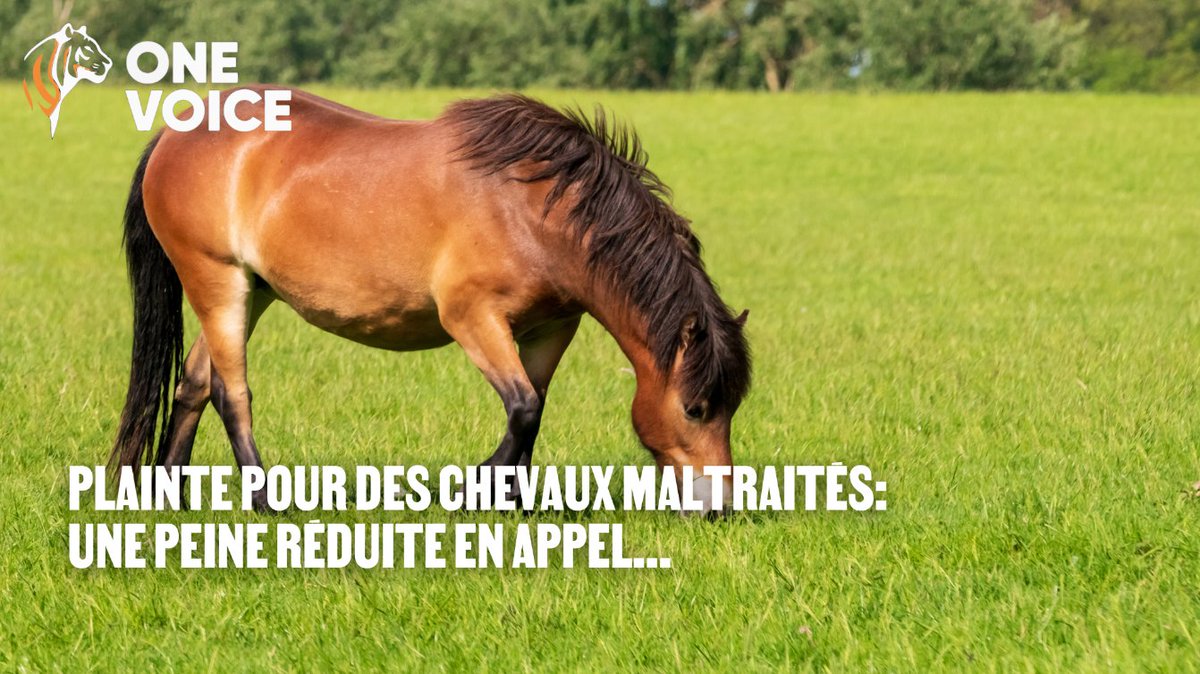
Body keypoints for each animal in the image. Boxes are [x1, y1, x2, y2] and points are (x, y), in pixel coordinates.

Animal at [109, 87, 751, 510]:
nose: (719, 506)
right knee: (230, 393)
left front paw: (514, 505)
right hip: (216, 280)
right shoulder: (473, 318)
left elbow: (533, 413)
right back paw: (268, 502)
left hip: (252, 291)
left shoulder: (550, 329)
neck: (536, 210)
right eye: (695, 408)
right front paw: (470, 491)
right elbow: (523, 408)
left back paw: (171, 495)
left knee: (194, 383)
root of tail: (175, 132)